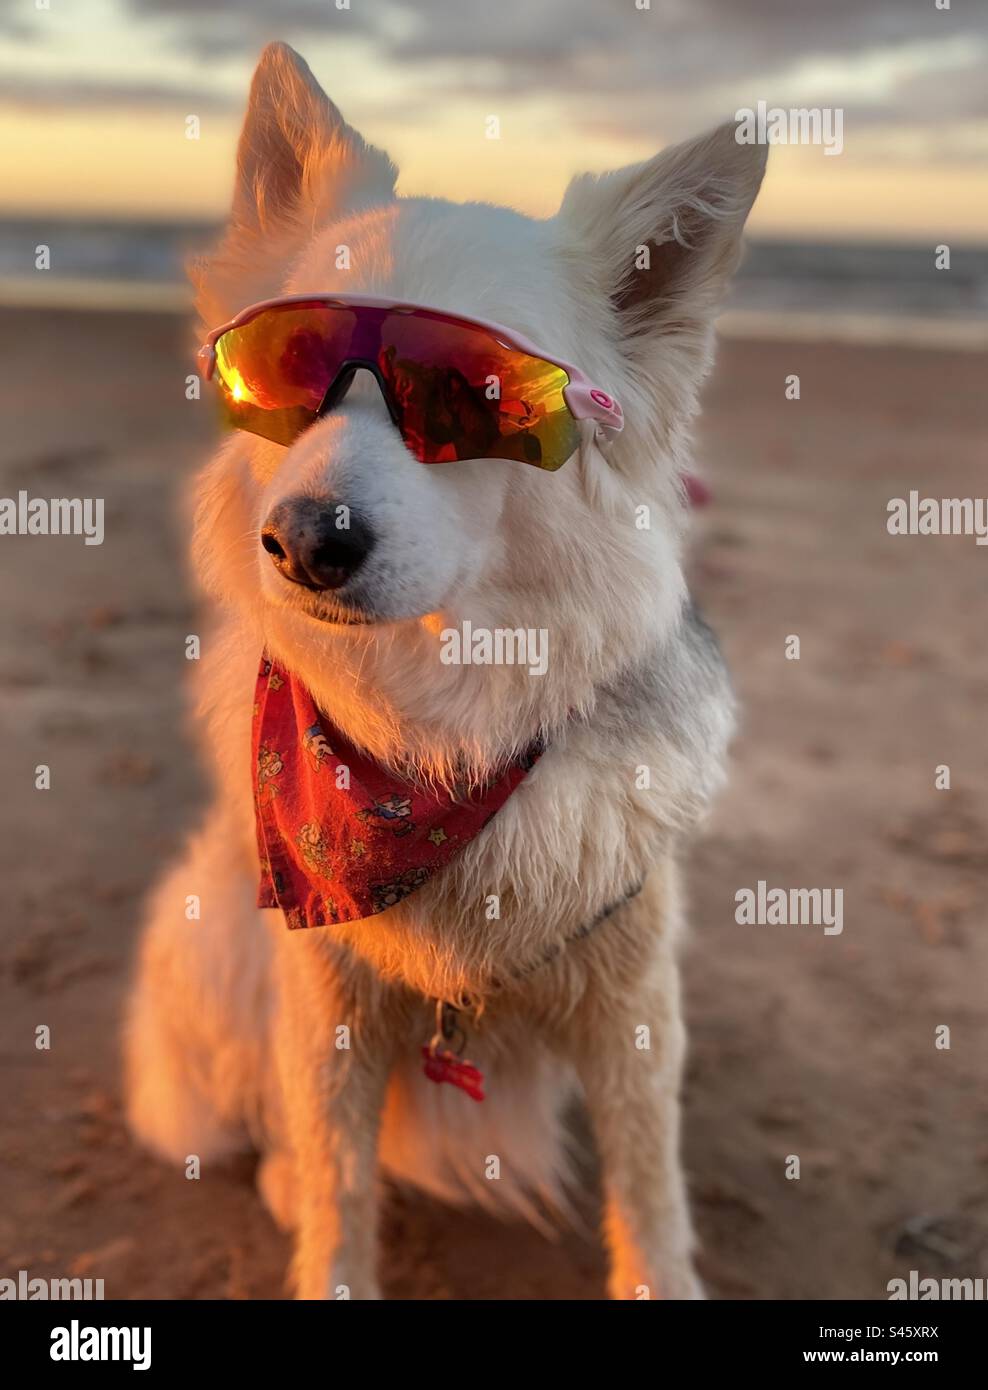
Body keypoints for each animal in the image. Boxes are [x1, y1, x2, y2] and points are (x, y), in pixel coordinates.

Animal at [123, 43, 767, 1301]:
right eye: (286, 364)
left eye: (471, 396)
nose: (303, 541)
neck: (432, 739)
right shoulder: (321, 995)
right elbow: (337, 1188)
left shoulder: (631, 998)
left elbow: (650, 1198)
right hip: (213, 934)